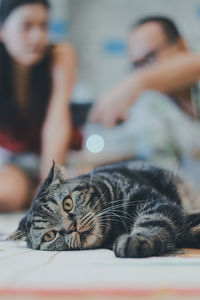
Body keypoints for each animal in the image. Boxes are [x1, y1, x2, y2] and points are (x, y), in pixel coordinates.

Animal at [8, 161, 200, 256]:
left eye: (67, 203)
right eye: (49, 236)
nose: (72, 227)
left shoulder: (151, 200)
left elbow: (153, 221)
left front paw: (136, 240)